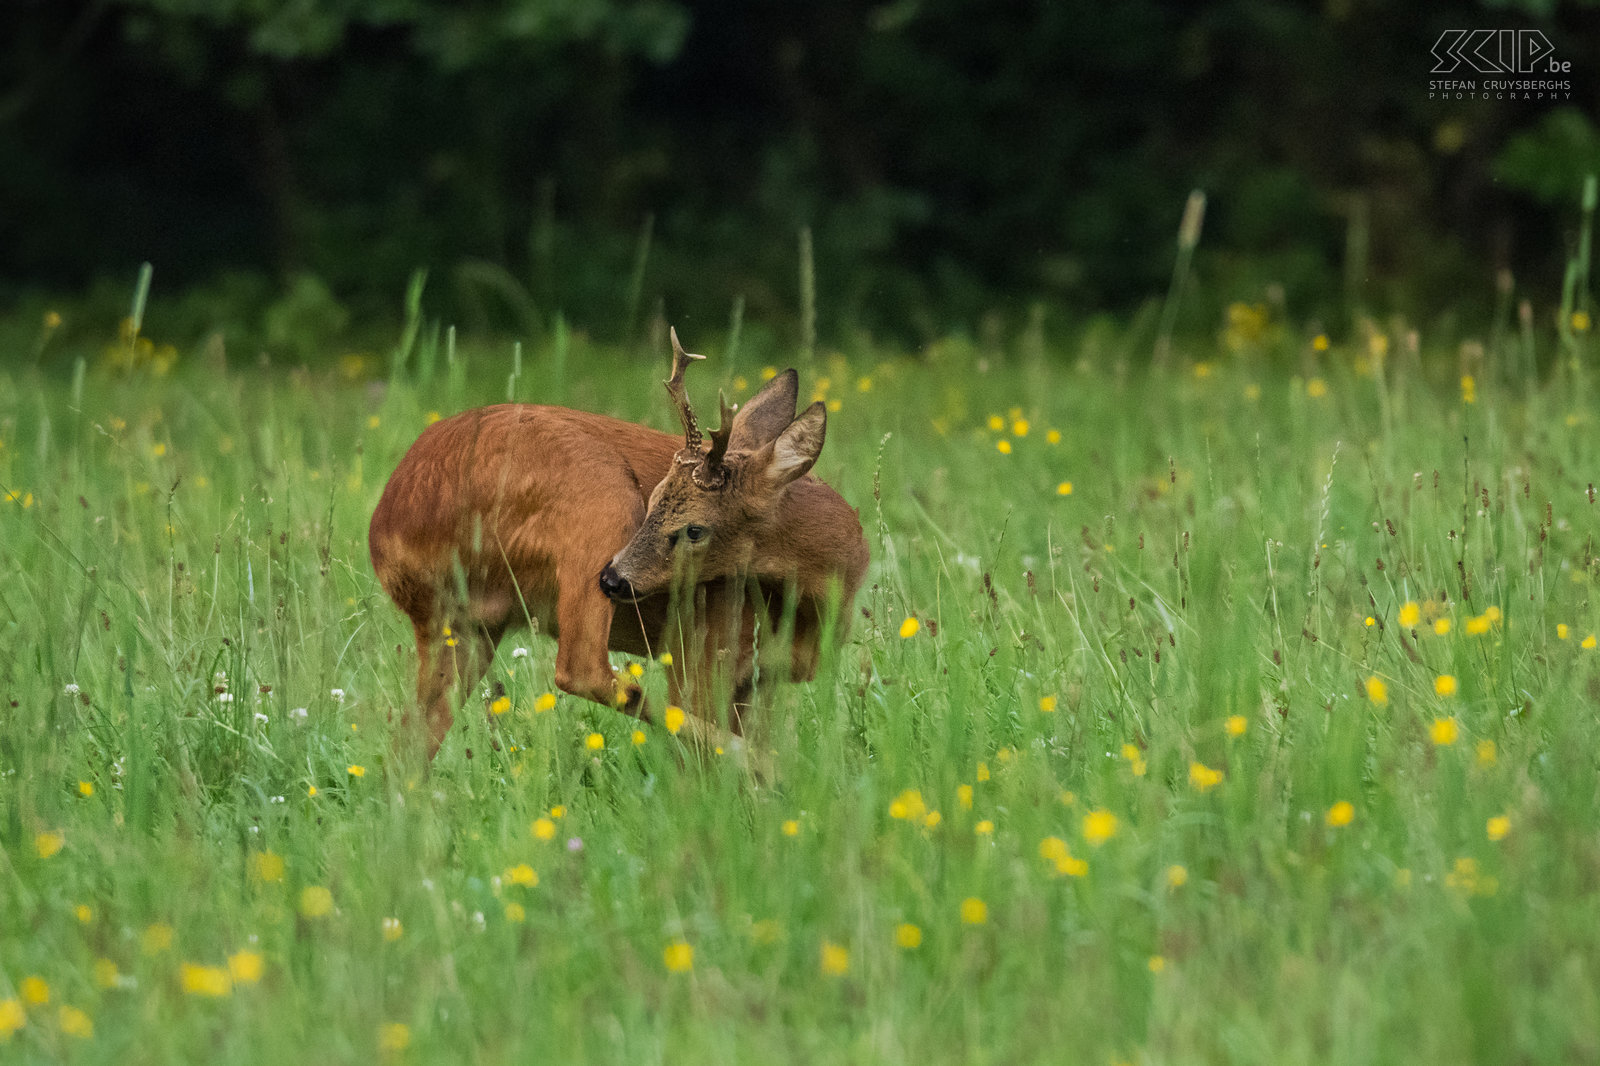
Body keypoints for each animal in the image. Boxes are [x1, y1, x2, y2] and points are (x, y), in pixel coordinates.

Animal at [368, 326, 870, 755]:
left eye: (694, 528)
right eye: (652, 502)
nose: (612, 579)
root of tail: (388, 524)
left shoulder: (765, 680)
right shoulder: (702, 648)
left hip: (461, 624)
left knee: (408, 746)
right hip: (599, 500)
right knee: (583, 670)